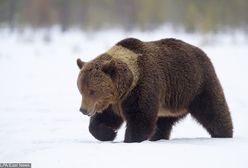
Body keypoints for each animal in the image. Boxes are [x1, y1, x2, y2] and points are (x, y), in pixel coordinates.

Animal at [75, 37, 232, 142]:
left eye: (92, 90)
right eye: (81, 90)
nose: (83, 110)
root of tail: (201, 51)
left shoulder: (142, 88)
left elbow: (140, 118)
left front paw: (130, 138)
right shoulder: (113, 102)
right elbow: (103, 120)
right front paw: (109, 133)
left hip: (196, 85)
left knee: (212, 109)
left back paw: (223, 134)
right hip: (169, 103)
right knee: (163, 122)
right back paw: (157, 137)